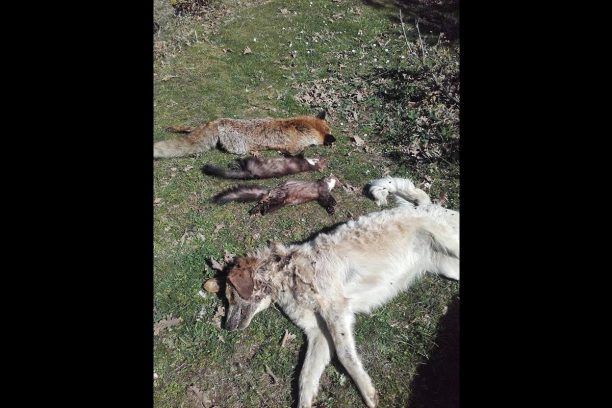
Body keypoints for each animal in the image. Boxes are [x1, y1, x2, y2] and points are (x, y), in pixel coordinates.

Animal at [207, 177, 459, 407]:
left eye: (230, 296)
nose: (226, 327)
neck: (287, 272)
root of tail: (425, 205)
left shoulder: (336, 312)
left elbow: (345, 356)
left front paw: (367, 391)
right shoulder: (317, 332)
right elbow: (305, 378)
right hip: (450, 269)